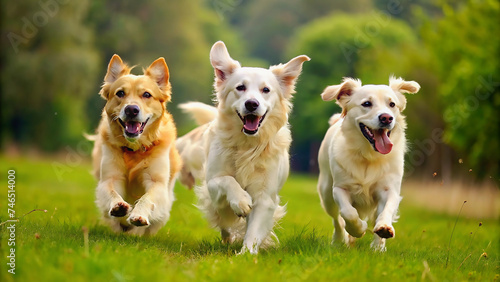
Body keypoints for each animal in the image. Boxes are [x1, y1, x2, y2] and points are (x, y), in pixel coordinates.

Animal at [176, 40, 308, 254]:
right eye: (240, 87)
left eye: (266, 90)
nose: (252, 104)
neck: (248, 145)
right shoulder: (212, 183)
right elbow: (228, 180)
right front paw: (241, 201)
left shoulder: (265, 198)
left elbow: (253, 230)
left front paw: (246, 254)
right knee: (223, 222)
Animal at [318, 76, 420, 251]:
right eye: (366, 103)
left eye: (392, 104)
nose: (386, 117)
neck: (369, 155)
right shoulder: (340, 188)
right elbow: (348, 213)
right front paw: (358, 229)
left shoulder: (389, 189)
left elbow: (386, 211)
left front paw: (382, 233)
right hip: (326, 193)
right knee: (337, 220)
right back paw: (339, 240)